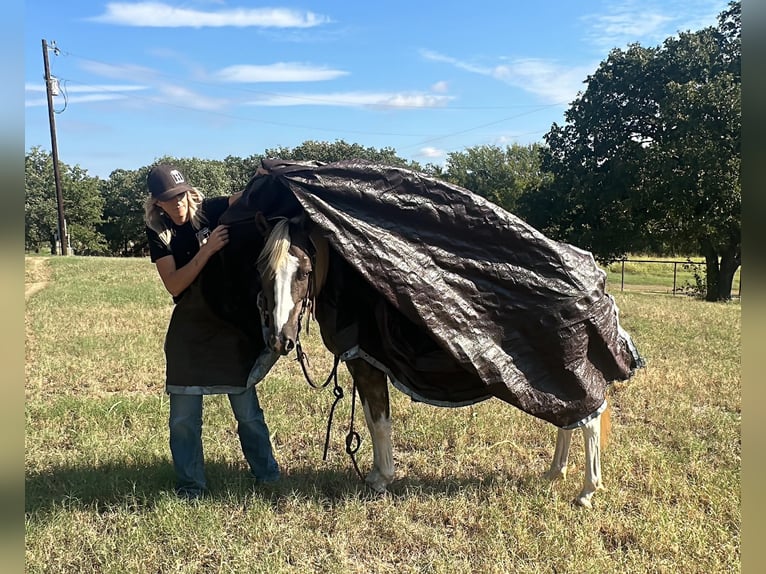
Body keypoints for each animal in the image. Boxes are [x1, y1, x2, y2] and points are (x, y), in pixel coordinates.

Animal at [255, 215, 616, 508]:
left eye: (303, 271)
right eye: (263, 270)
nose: (280, 339)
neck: (358, 296)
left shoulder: (368, 366)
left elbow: (378, 422)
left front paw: (381, 480)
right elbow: (372, 421)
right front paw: (375, 475)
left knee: (589, 423)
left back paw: (586, 492)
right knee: (570, 420)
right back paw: (555, 473)